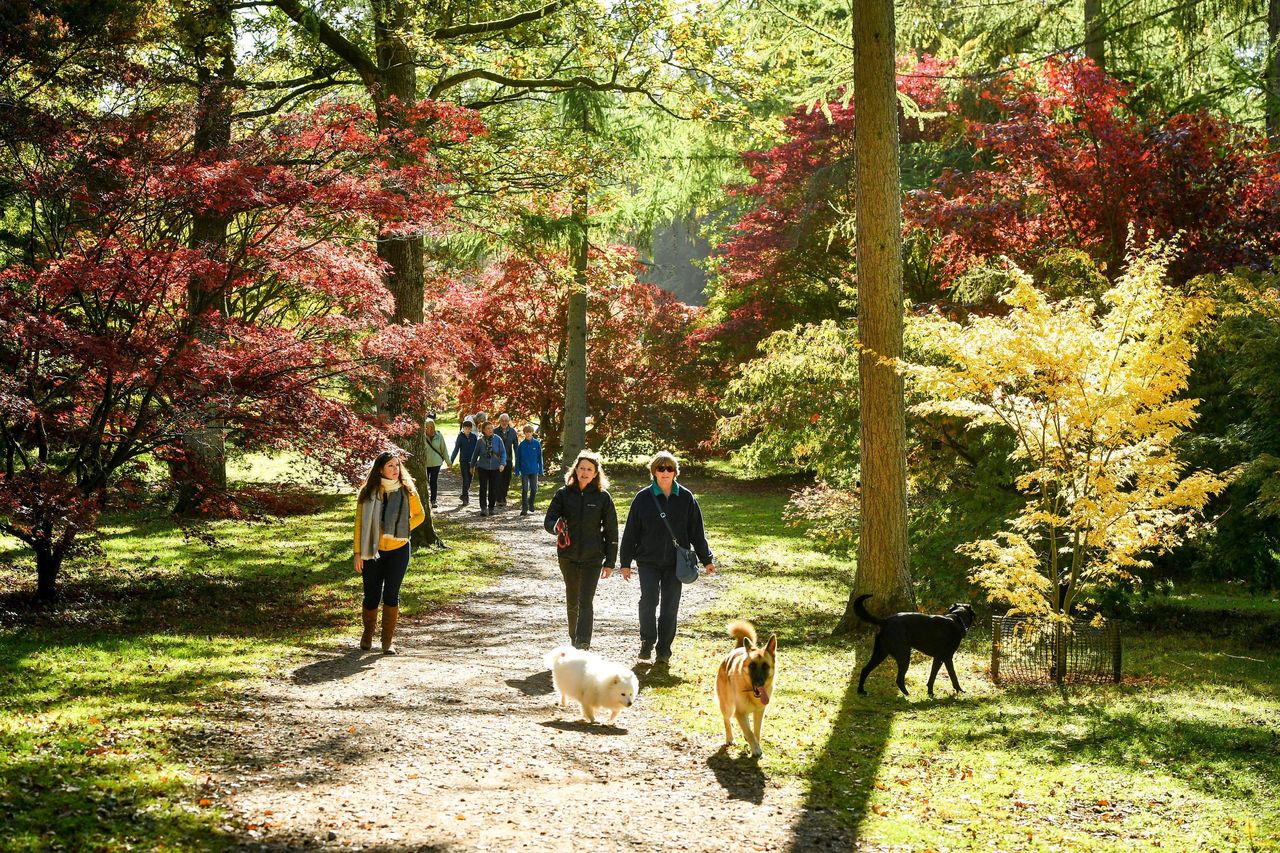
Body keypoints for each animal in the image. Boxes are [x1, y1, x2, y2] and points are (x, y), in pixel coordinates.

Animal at [716, 617, 773, 758]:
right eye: (752, 666)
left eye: (765, 666)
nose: (759, 682)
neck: (751, 694)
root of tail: (739, 648)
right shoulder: (739, 713)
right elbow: (748, 731)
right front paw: (756, 749)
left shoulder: (759, 712)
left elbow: (756, 732)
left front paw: (756, 745)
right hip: (728, 707)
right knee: (726, 720)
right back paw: (730, 738)